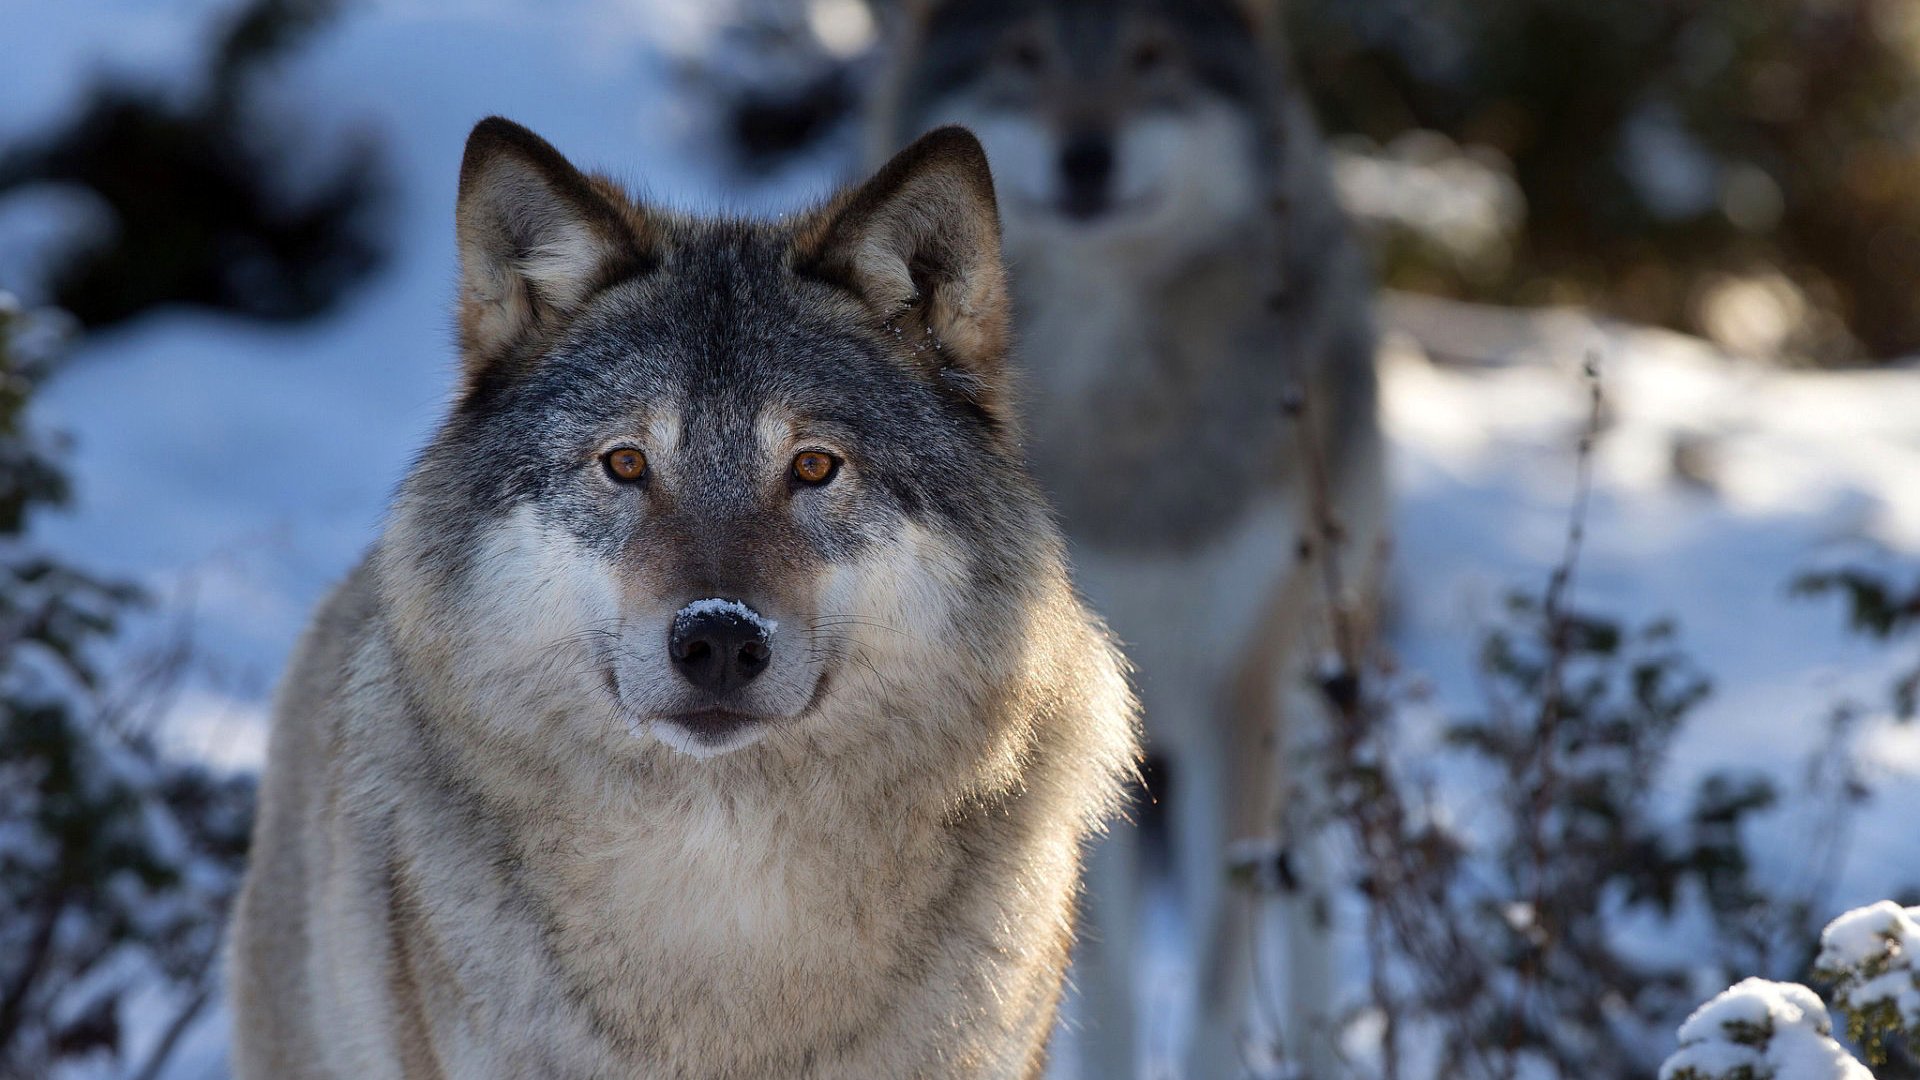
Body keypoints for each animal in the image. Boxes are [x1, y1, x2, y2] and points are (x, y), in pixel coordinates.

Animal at [875, 4, 1397, 1068]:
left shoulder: (1244, 696)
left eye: (1151, 57)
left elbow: (1218, 978)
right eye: (1025, 55)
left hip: (1312, 691)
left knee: (1311, 898)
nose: (1087, 156)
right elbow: (1100, 974)